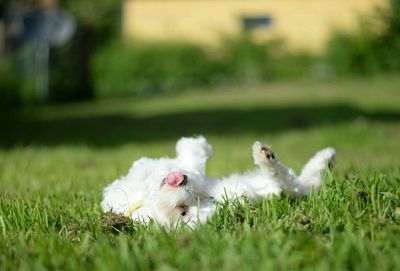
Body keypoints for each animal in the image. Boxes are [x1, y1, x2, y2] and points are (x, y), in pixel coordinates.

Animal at [101, 137, 334, 228]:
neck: (145, 198)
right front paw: (195, 145)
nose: (185, 184)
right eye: (183, 211)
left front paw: (197, 144)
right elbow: (189, 160)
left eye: (199, 197)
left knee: (289, 178)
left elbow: (191, 160)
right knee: (289, 178)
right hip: (275, 186)